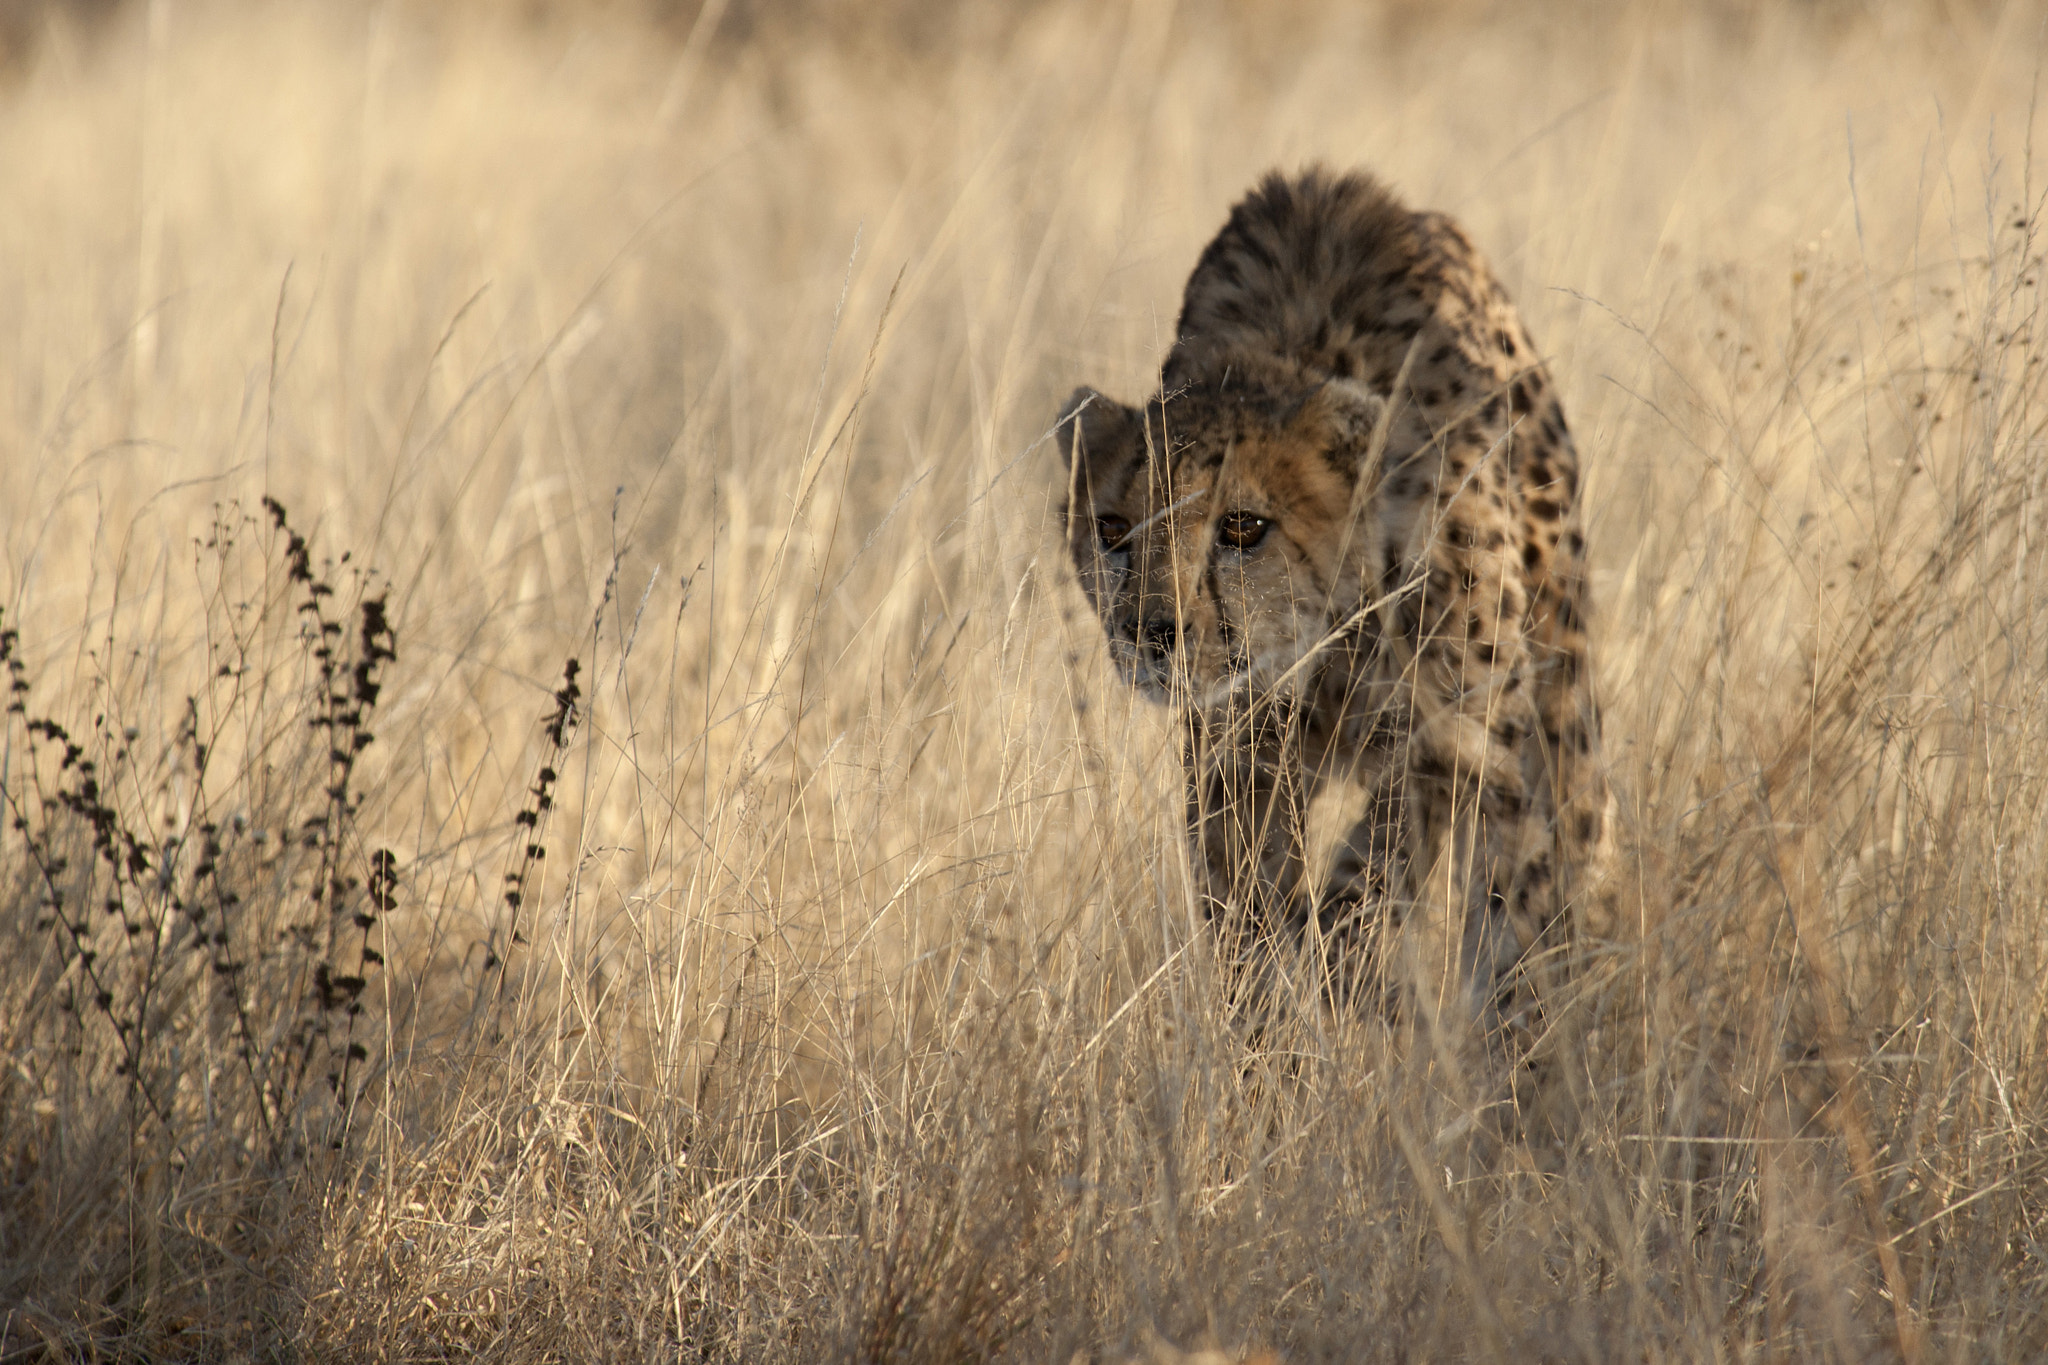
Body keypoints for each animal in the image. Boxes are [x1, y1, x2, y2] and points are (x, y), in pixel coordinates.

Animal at [1064, 167, 1605, 1023]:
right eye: (1112, 528)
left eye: (1243, 526)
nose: (1149, 633)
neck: (1326, 639)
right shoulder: (1235, 755)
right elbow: (1244, 905)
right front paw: (1267, 1022)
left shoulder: (1461, 729)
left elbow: (1376, 865)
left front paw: (1340, 968)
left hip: (1557, 682)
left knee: (1556, 842)